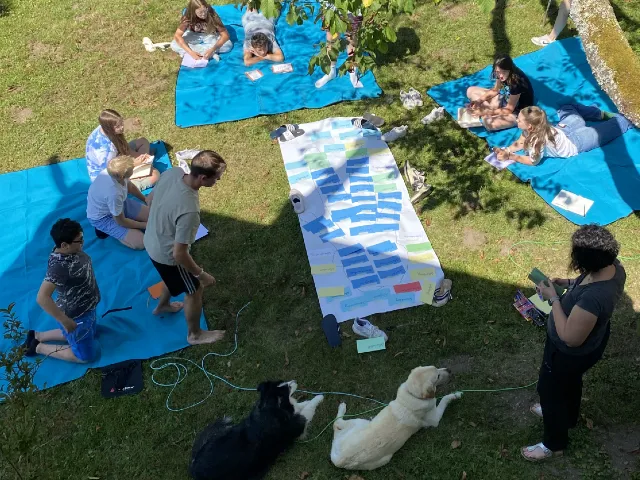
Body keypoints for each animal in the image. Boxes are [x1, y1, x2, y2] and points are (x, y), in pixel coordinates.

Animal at [188, 380, 322, 478]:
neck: (270, 409)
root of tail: (193, 466)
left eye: (282, 382)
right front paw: (320, 397)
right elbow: (308, 408)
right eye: (287, 387)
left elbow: (301, 405)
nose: (294, 381)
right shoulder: (299, 423)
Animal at [330, 366, 460, 470]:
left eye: (437, 367)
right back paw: (342, 407)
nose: (449, 369)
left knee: (336, 425)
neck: (412, 394)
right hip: (364, 429)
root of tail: (340, 460)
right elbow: (444, 400)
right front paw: (455, 395)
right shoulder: (435, 420)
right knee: (336, 423)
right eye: (437, 376)